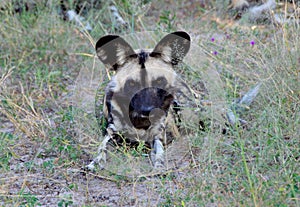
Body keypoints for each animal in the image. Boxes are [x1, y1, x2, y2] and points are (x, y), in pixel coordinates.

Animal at [85, 30, 196, 170]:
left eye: (159, 81)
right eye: (132, 84)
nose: (147, 110)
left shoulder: (158, 135)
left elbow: (159, 151)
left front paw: (159, 165)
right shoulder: (112, 132)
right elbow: (102, 147)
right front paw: (96, 162)